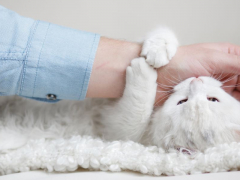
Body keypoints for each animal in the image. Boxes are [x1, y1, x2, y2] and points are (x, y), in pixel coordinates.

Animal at [0, 27, 240, 153]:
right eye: (213, 99)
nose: (195, 81)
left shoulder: (117, 131)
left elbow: (134, 114)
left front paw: (143, 72)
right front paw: (159, 45)